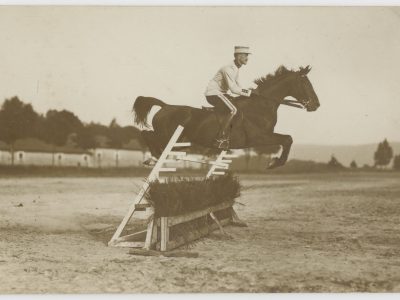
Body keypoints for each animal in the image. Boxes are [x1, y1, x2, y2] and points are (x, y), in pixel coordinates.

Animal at [133, 65, 320, 169]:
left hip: (177, 139)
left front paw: (275, 162)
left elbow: (288, 138)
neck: (261, 106)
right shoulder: (258, 137)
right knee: (146, 134)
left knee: (148, 135)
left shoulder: (263, 136)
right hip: (168, 136)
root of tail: (165, 106)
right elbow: (287, 139)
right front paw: (275, 163)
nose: (316, 105)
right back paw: (154, 157)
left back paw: (154, 157)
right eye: (305, 83)